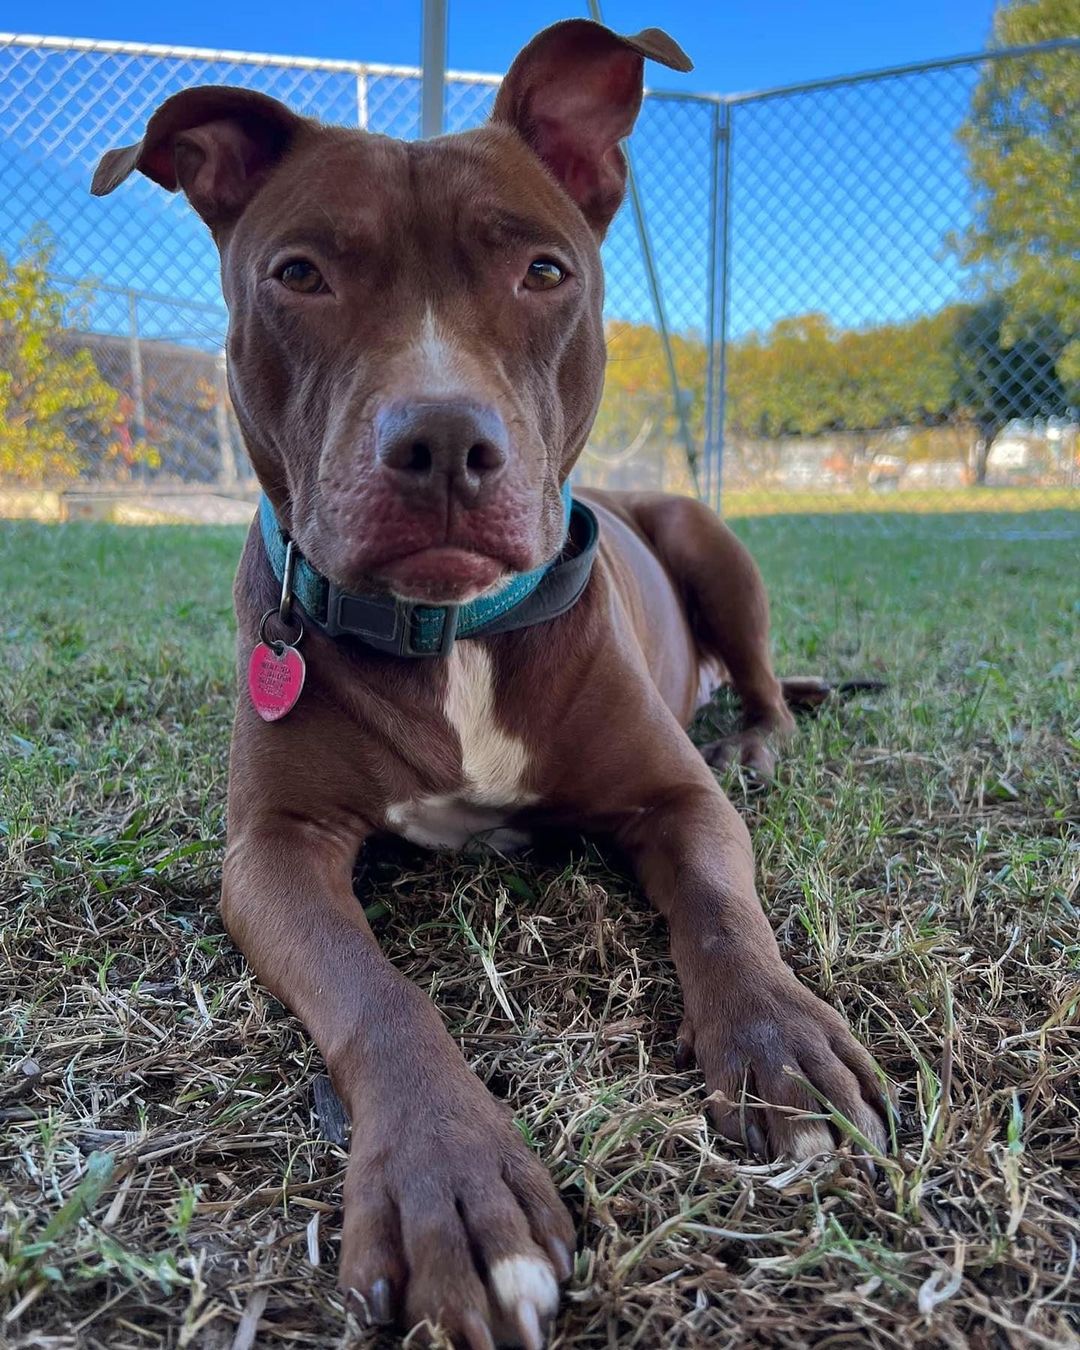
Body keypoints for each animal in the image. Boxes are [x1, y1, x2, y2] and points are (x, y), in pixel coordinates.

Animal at [95, 21, 885, 1350]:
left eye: (544, 271)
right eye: (300, 273)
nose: (444, 443)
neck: (450, 630)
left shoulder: (676, 803)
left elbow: (723, 909)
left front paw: (782, 1044)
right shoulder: (273, 852)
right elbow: (378, 996)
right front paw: (451, 1189)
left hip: (711, 542)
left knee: (765, 683)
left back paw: (759, 742)